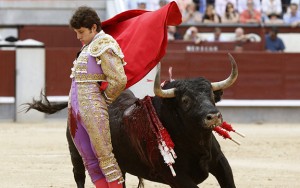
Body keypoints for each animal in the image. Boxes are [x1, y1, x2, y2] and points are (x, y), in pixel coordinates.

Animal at [25, 53, 238, 187]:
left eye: (211, 95)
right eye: (185, 100)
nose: (213, 116)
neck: (196, 142)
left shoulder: (220, 162)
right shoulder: (177, 176)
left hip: (120, 165)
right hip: (76, 154)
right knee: (79, 176)